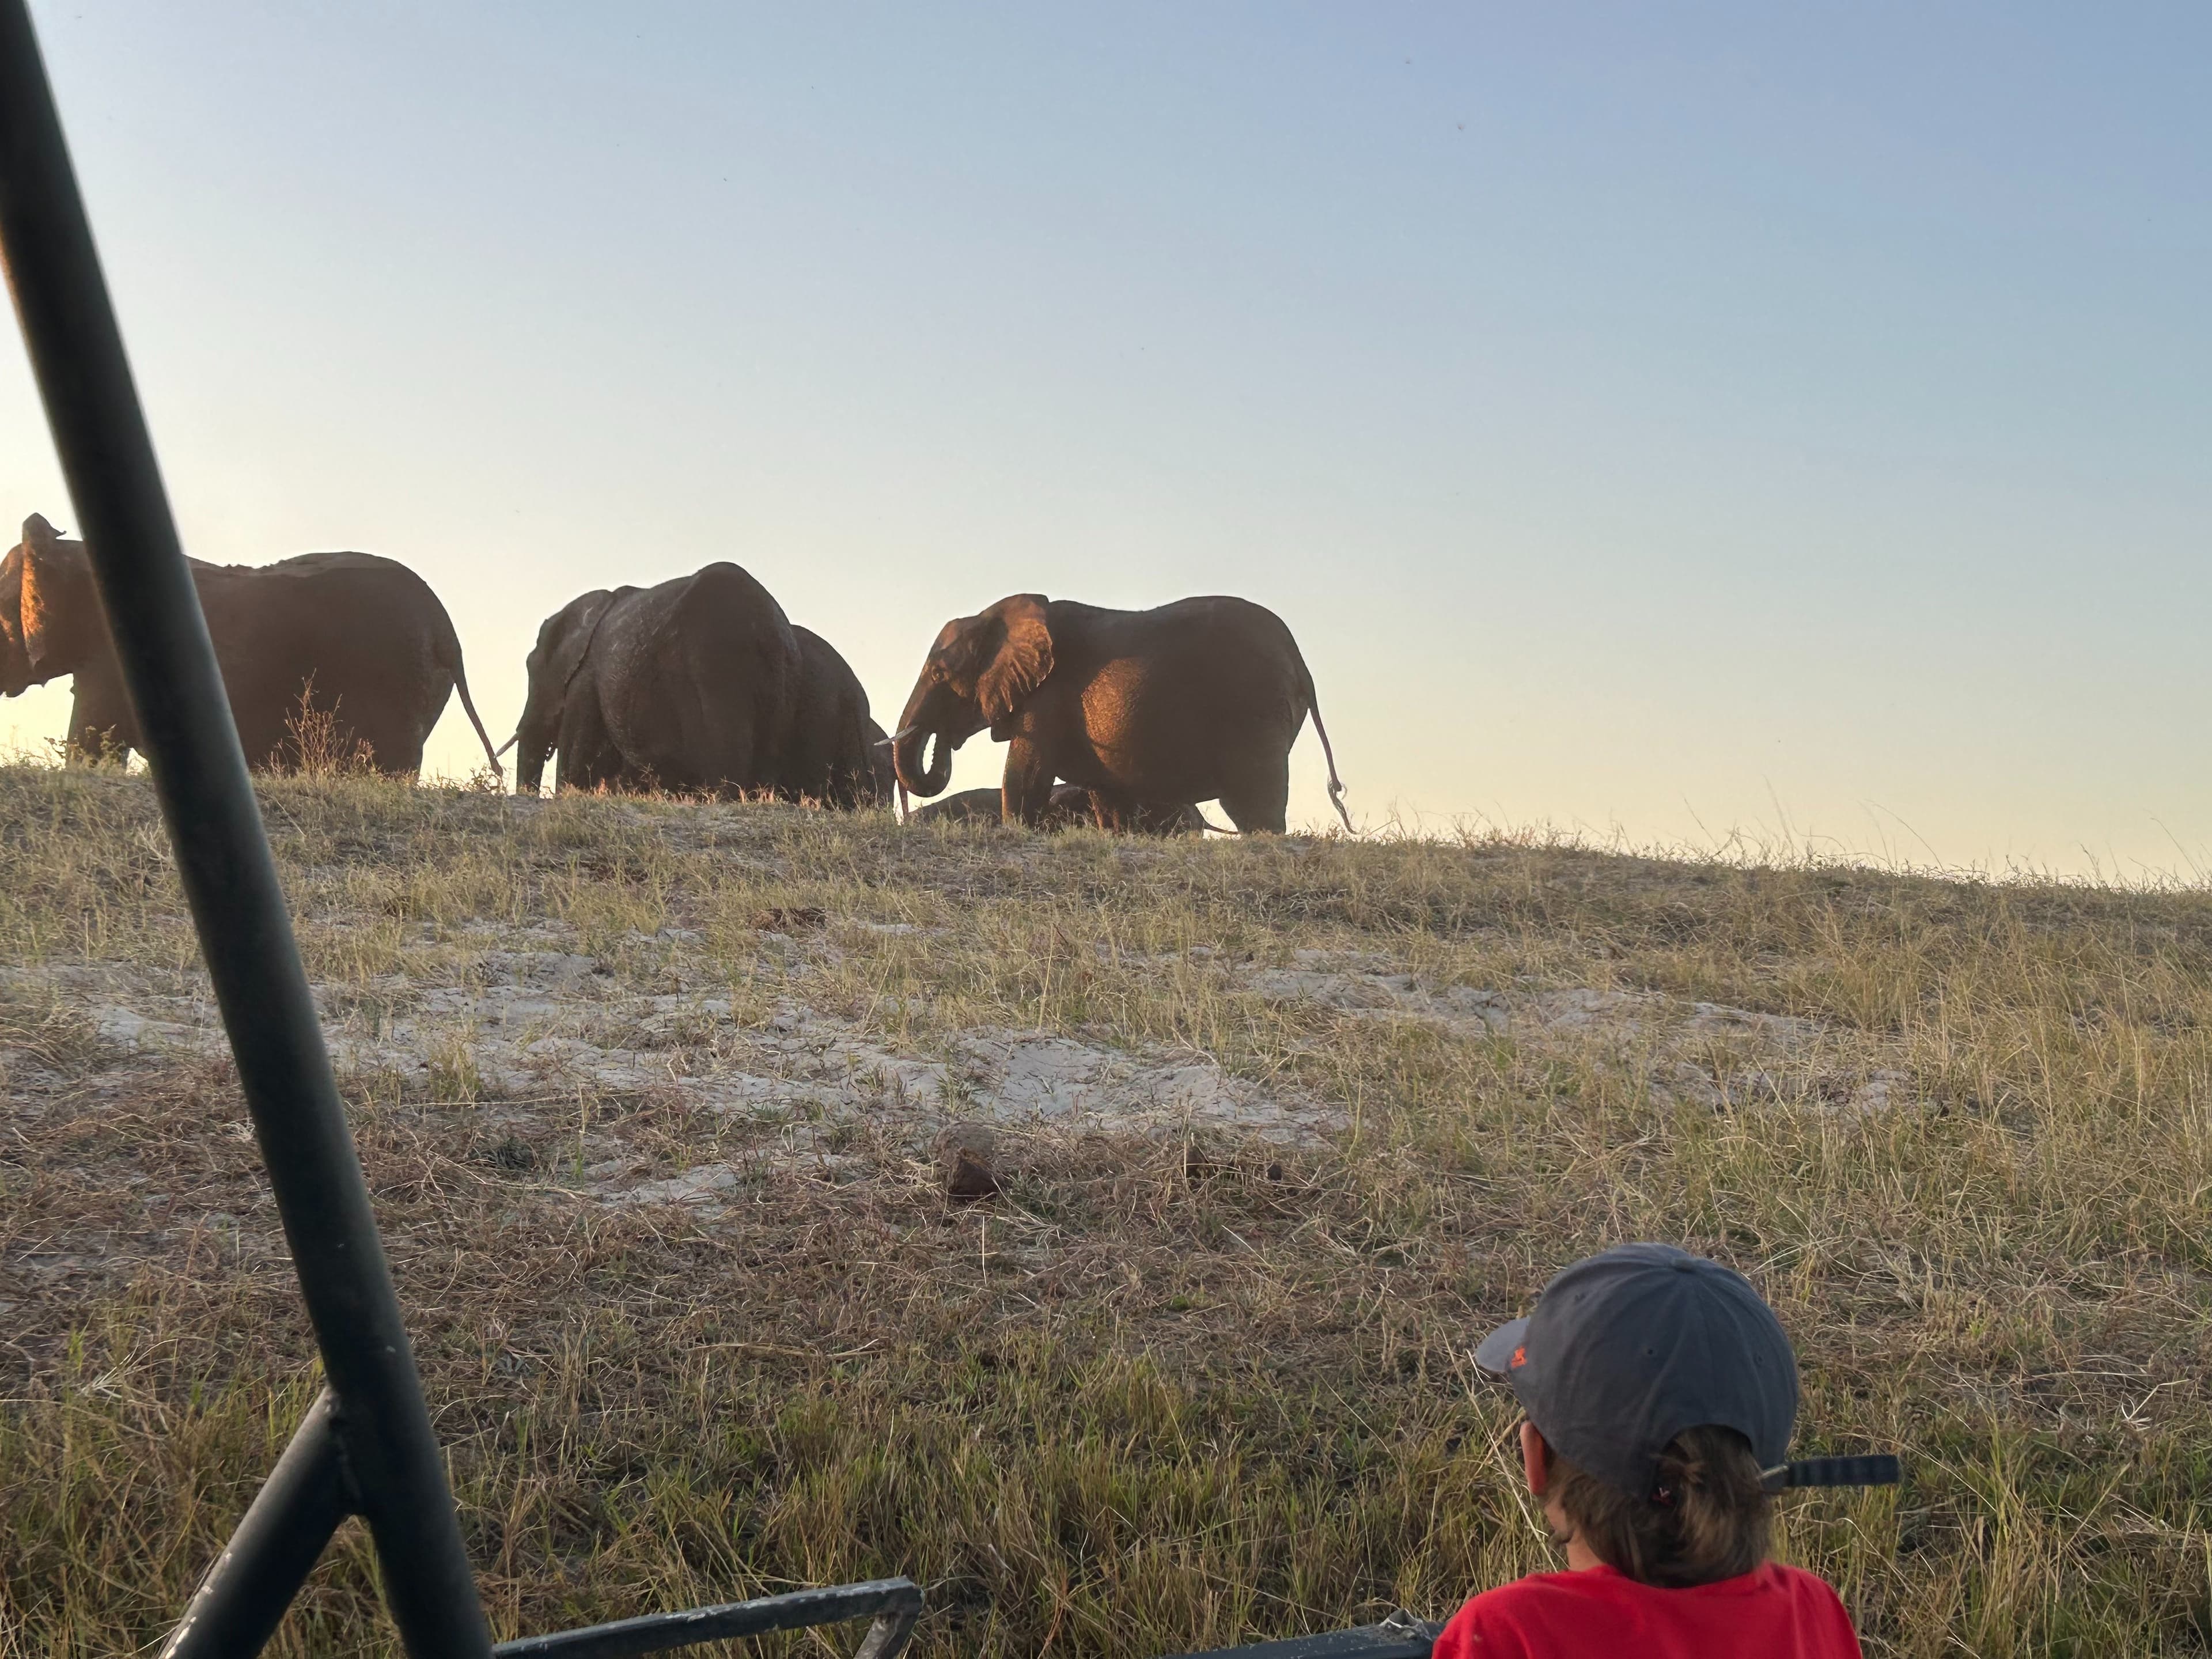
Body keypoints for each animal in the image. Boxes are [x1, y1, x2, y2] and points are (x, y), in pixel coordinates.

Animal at [891, 593, 1350, 834]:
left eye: (940, 674)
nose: (942, 742)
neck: (993, 617)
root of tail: (1302, 665)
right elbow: (1105, 794)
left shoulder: (1047, 697)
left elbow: (1024, 775)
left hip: (1253, 710)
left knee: (1253, 806)